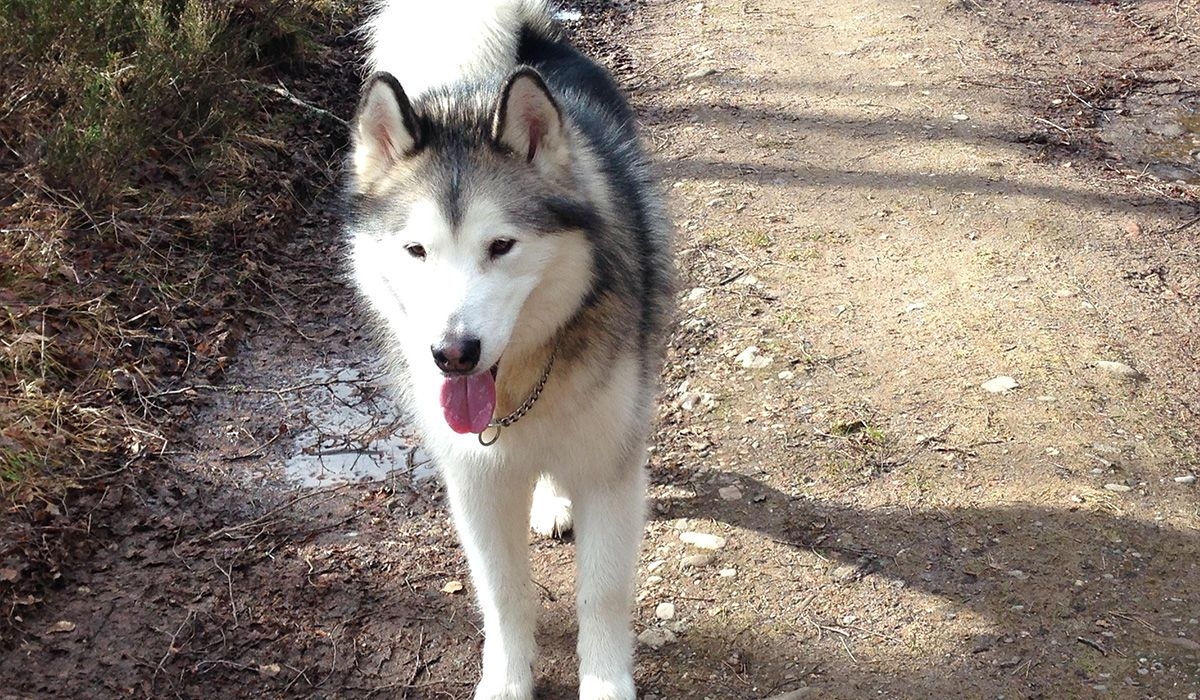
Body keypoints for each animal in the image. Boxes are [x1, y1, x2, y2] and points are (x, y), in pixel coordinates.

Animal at [345, 2, 676, 696]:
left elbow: (601, 593)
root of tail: (528, 44)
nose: (454, 353)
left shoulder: (609, 469)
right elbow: (502, 595)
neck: (521, 379)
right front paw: (506, 680)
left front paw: (604, 682)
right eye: (416, 250)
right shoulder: (475, 480)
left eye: (501, 246)